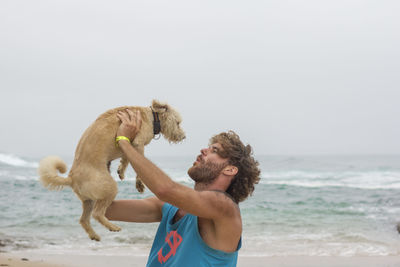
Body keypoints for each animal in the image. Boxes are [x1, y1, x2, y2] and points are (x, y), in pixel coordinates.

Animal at [38, 99, 185, 242]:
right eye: (178, 123)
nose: (183, 137)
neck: (152, 116)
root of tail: (71, 178)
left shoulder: (128, 146)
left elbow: (125, 160)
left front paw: (121, 171)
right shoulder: (138, 144)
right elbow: (138, 167)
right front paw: (139, 183)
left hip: (89, 200)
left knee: (84, 219)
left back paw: (94, 235)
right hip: (109, 188)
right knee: (97, 214)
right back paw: (112, 226)